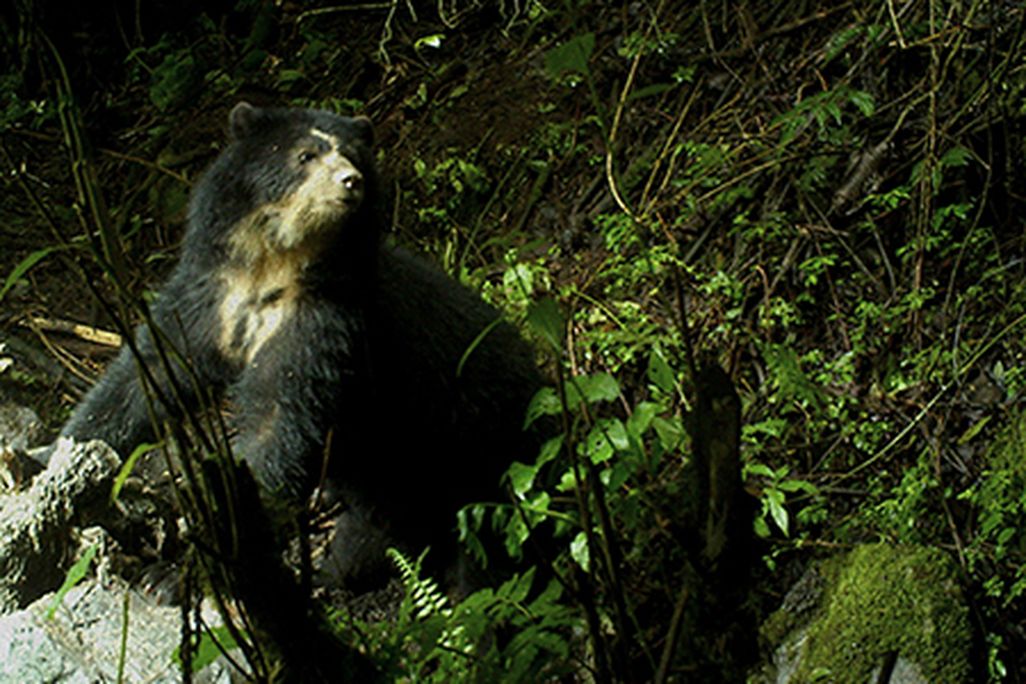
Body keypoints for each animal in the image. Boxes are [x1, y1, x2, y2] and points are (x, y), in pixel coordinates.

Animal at [59, 102, 545, 588]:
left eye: (352, 155)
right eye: (305, 156)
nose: (351, 181)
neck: (275, 264)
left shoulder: (320, 319)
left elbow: (277, 418)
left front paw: (195, 567)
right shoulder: (210, 299)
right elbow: (147, 375)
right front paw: (64, 455)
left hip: (484, 441)